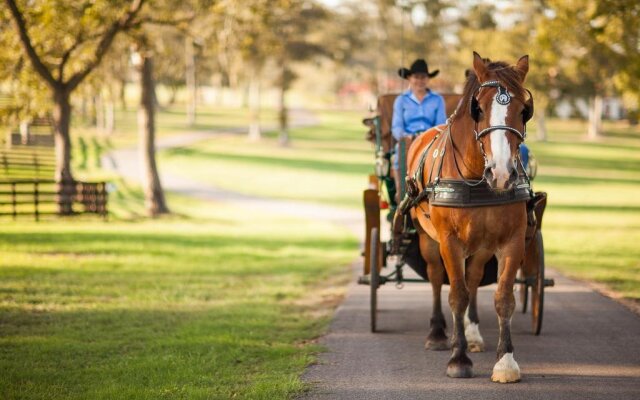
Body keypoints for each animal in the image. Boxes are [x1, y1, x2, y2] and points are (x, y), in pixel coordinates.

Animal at [404, 52, 536, 382]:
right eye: (479, 108)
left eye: (523, 110)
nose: (501, 174)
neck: (478, 179)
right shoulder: (449, 241)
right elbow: (457, 295)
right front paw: (458, 358)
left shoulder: (512, 241)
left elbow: (503, 297)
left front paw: (506, 362)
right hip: (428, 240)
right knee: (437, 278)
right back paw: (438, 333)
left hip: (482, 245)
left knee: (474, 277)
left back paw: (472, 332)